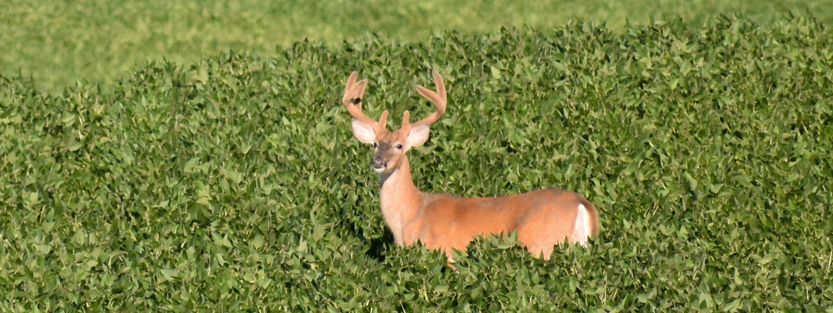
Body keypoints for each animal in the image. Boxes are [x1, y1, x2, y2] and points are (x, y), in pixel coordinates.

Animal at [342, 71, 600, 260]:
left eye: (399, 146)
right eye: (375, 144)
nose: (378, 162)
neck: (412, 216)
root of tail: (582, 205)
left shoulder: (446, 253)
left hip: (542, 243)